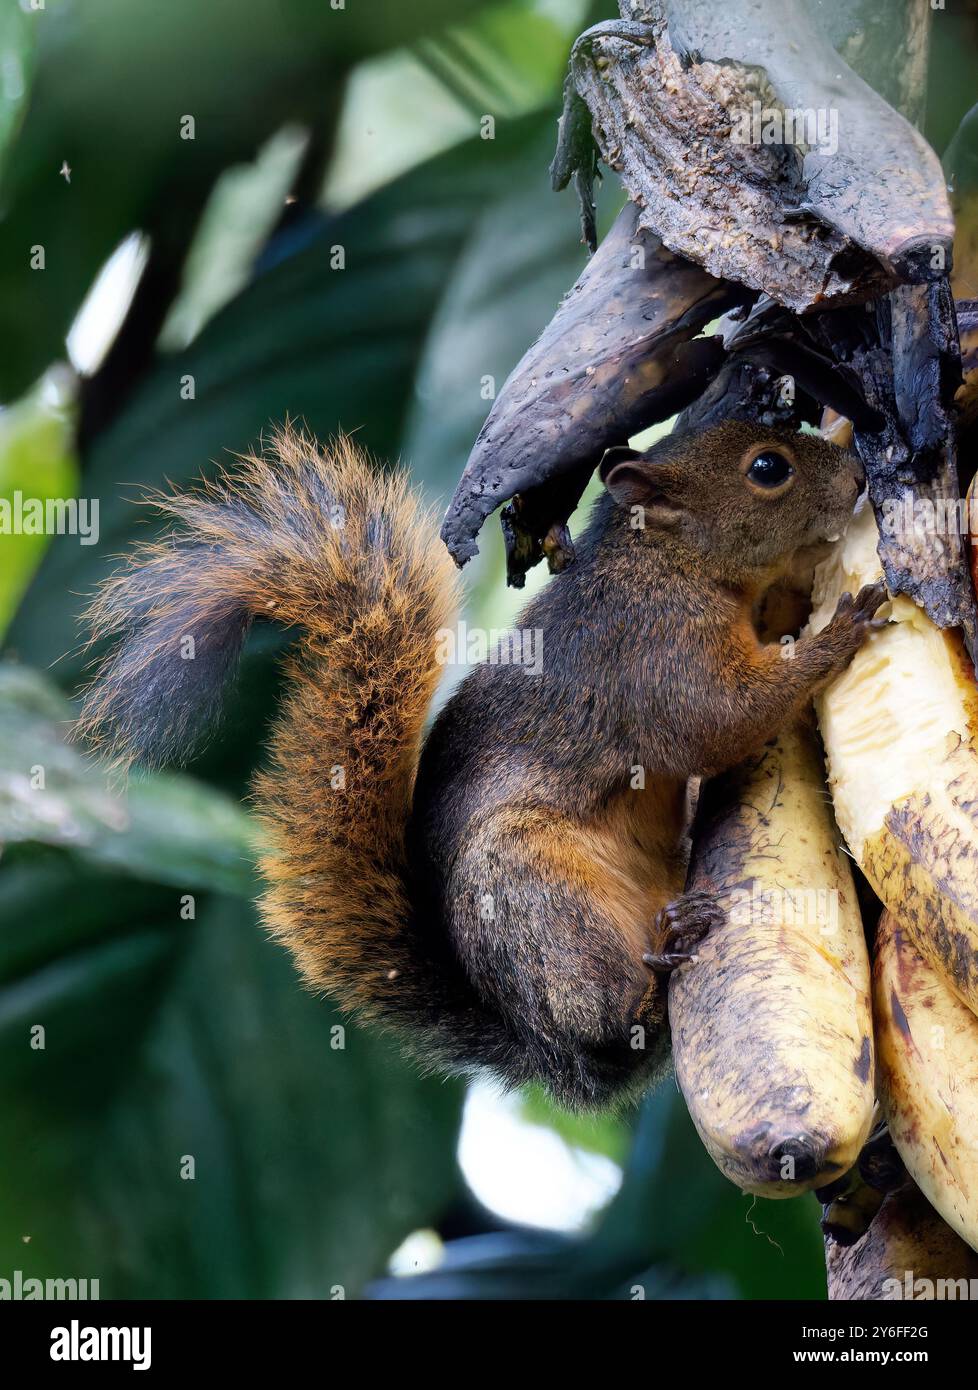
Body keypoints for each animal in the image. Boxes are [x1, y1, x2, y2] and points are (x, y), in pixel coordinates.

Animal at [77, 420, 885, 1109]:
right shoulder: (651, 645)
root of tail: (544, 1053)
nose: (857, 475)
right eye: (767, 468)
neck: (668, 559)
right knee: (608, 1019)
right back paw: (656, 977)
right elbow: (720, 720)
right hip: (532, 894)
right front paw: (837, 629)